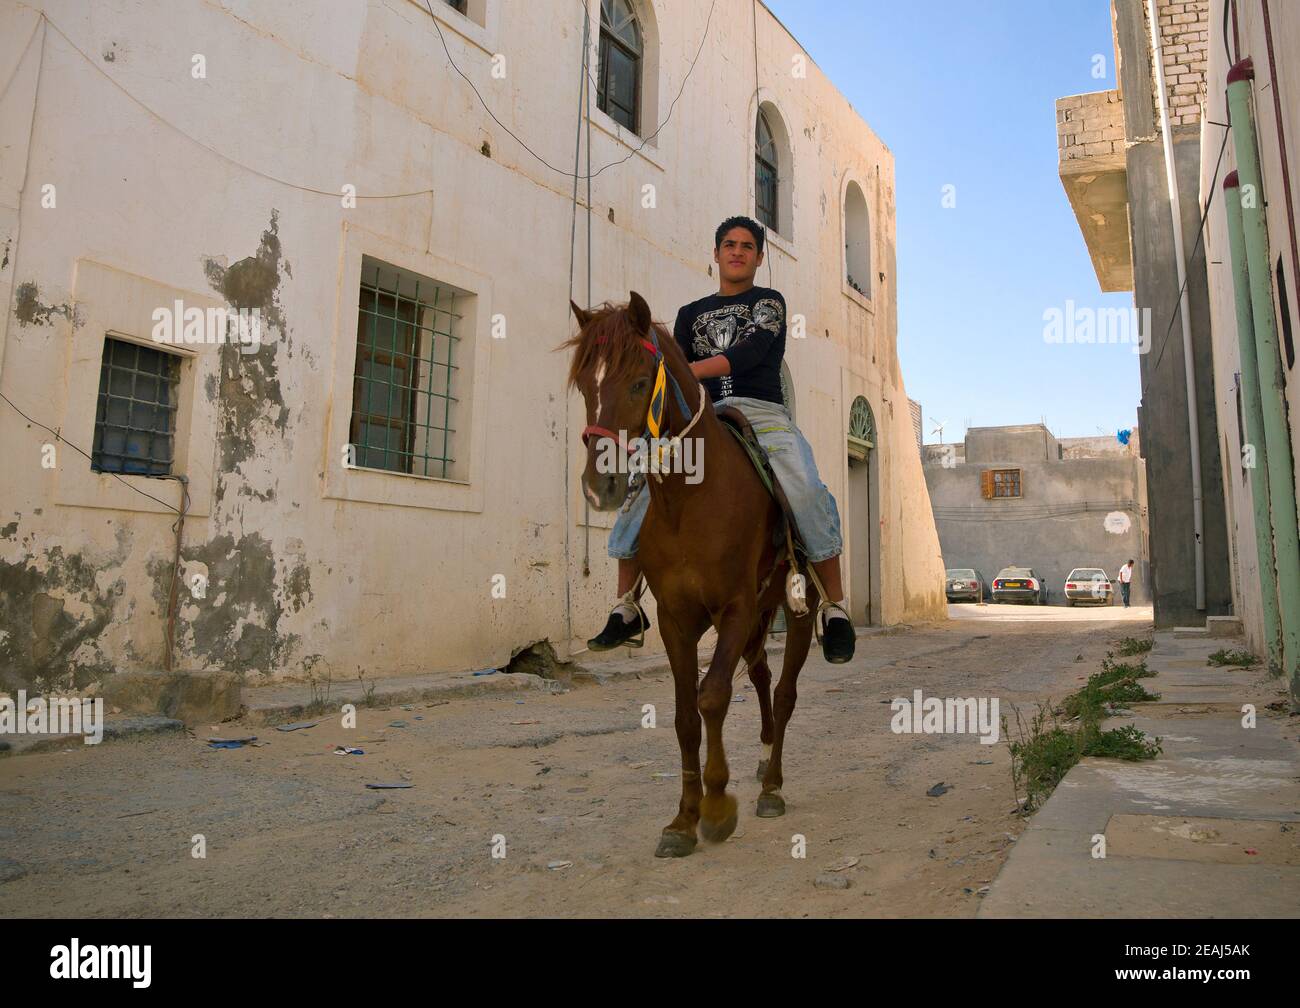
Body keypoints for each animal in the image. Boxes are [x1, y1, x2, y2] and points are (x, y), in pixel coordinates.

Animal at [563, 291, 820, 858]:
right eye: (584, 385)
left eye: (640, 382)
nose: (599, 486)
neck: (691, 500)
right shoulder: (676, 618)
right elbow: (684, 716)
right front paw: (683, 818)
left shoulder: (734, 608)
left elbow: (713, 696)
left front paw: (718, 806)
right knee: (762, 676)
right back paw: (763, 759)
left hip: (794, 611)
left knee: (785, 692)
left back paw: (772, 785)